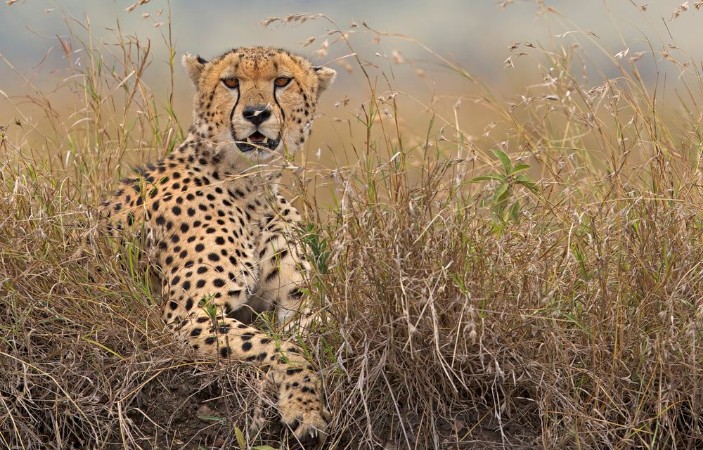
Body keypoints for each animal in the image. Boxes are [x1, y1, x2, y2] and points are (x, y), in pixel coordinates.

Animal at [99, 46, 336, 447]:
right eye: (230, 82)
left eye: (282, 81)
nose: (255, 113)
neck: (252, 184)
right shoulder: (190, 316)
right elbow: (281, 347)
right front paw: (303, 408)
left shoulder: (300, 302)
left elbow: (310, 334)